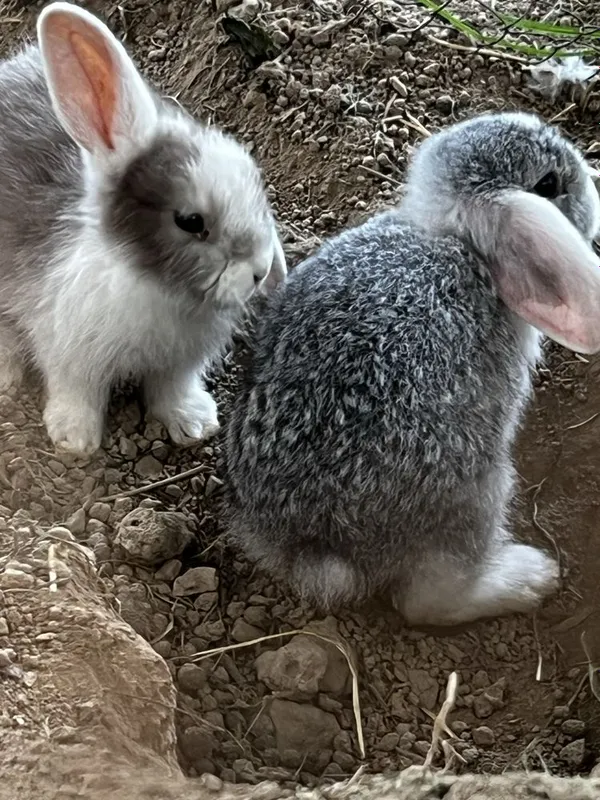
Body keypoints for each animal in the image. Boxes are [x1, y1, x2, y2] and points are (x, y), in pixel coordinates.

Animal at [0, 2, 286, 455]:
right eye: (190, 221)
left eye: (253, 173)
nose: (261, 271)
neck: (154, 283)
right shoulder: (69, 353)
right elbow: (76, 391)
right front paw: (74, 438)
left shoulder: (179, 365)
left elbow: (171, 390)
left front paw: (195, 424)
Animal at [224, 111, 600, 627]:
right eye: (548, 184)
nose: (591, 182)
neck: (458, 242)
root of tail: (318, 548)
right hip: (481, 491)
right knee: (427, 600)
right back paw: (527, 578)